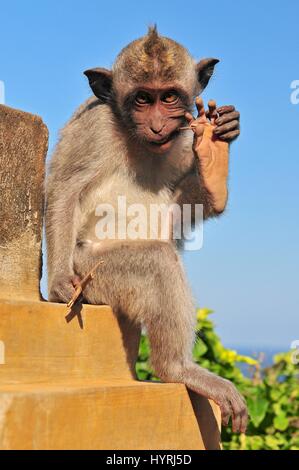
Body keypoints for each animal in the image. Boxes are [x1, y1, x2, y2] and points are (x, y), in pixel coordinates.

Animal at [46, 27, 248, 434]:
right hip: (92, 271)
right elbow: (65, 188)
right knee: (156, 261)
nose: (156, 125)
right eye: (142, 99)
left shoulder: (184, 136)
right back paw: (177, 368)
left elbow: (182, 208)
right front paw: (58, 281)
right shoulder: (94, 127)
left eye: (168, 97)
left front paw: (214, 157)